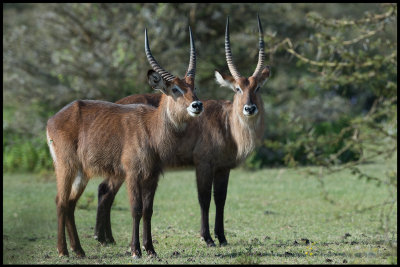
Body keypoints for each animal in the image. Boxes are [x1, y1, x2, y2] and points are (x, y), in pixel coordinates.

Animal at [46, 26, 203, 258]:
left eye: (194, 87)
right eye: (175, 89)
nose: (197, 105)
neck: (151, 129)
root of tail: (53, 118)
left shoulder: (153, 176)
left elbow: (148, 210)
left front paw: (151, 249)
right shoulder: (132, 173)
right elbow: (136, 209)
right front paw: (136, 250)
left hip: (82, 172)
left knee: (71, 202)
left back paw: (79, 250)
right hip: (66, 166)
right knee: (60, 201)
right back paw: (63, 251)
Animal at [94, 15, 270, 248]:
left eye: (257, 87)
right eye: (237, 88)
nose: (249, 108)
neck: (226, 123)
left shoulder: (223, 168)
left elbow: (221, 199)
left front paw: (222, 237)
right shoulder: (203, 164)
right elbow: (204, 199)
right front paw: (207, 238)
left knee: (105, 190)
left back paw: (107, 238)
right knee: (106, 190)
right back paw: (102, 237)